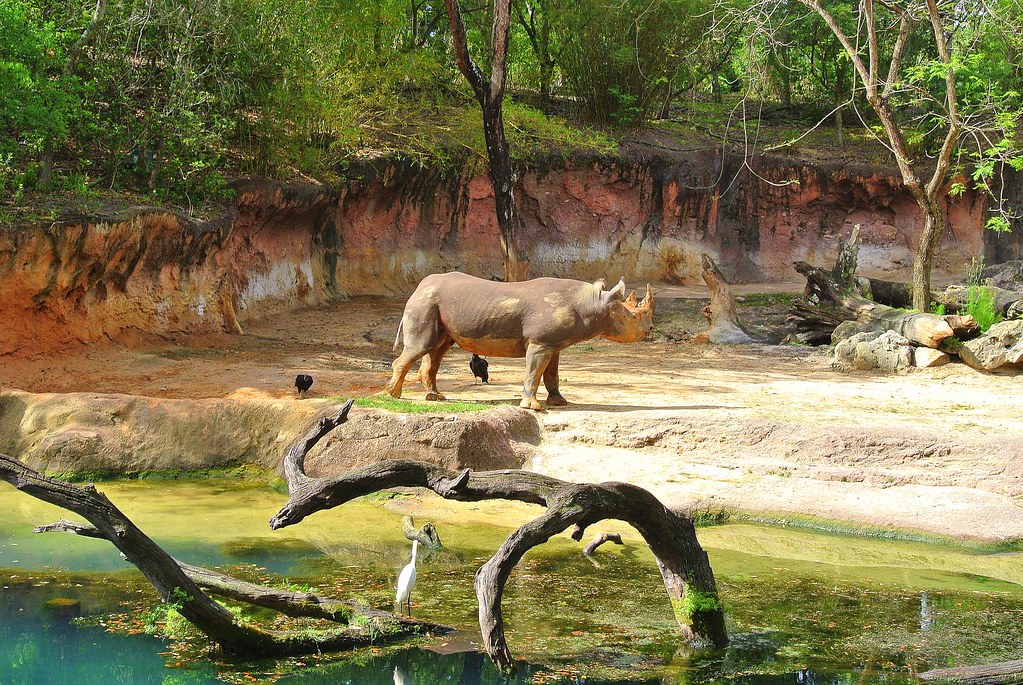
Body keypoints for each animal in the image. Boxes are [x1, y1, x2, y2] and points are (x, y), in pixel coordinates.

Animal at [387, 271, 654, 410]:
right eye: (632, 316)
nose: (650, 329)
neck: (593, 302)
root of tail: (417, 288)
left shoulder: (554, 344)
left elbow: (552, 374)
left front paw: (560, 402)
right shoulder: (540, 342)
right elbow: (534, 372)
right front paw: (533, 407)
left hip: (436, 303)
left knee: (437, 349)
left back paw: (435, 397)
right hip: (425, 303)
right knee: (422, 347)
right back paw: (394, 395)